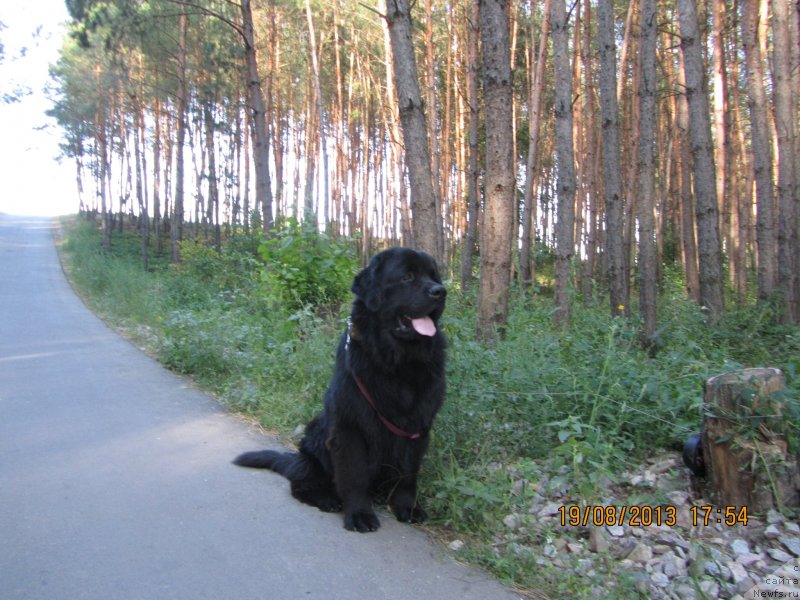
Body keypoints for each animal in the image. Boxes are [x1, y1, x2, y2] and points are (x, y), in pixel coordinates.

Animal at [231, 246, 446, 532]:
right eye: (407, 277)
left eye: (434, 276)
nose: (440, 291)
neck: (397, 363)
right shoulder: (349, 426)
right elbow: (353, 475)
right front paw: (359, 515)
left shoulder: (417, 427)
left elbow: (409, 474)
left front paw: (407, 508)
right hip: (315, 438)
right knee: (300, 484)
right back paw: (327, 498)